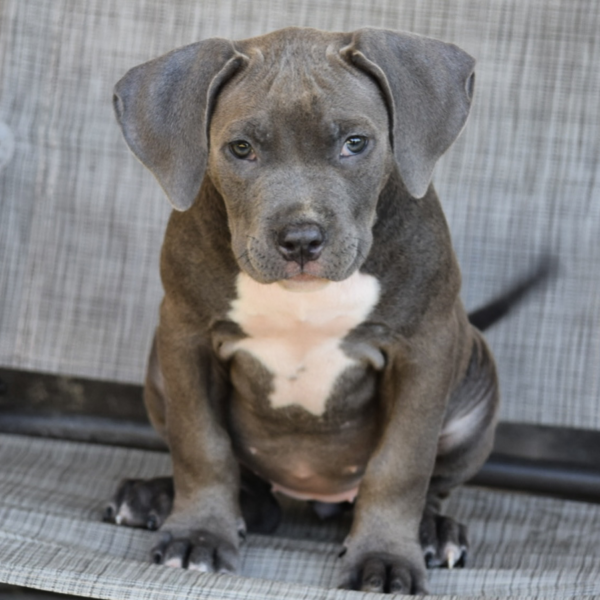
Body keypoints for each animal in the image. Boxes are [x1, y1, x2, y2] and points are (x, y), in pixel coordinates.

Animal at [106, 25, 496, 592]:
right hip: (158, 369)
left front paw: (386, 558)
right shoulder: (185, 335)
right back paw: (155, 497)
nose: (301, 239)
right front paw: (199, 534)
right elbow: (201, 444)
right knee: (249, 489)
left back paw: (434, 530)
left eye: (355, 143)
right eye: (240, 148)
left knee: (432, 482)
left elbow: (401, 463)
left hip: (475, 382)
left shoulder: (424, 346)